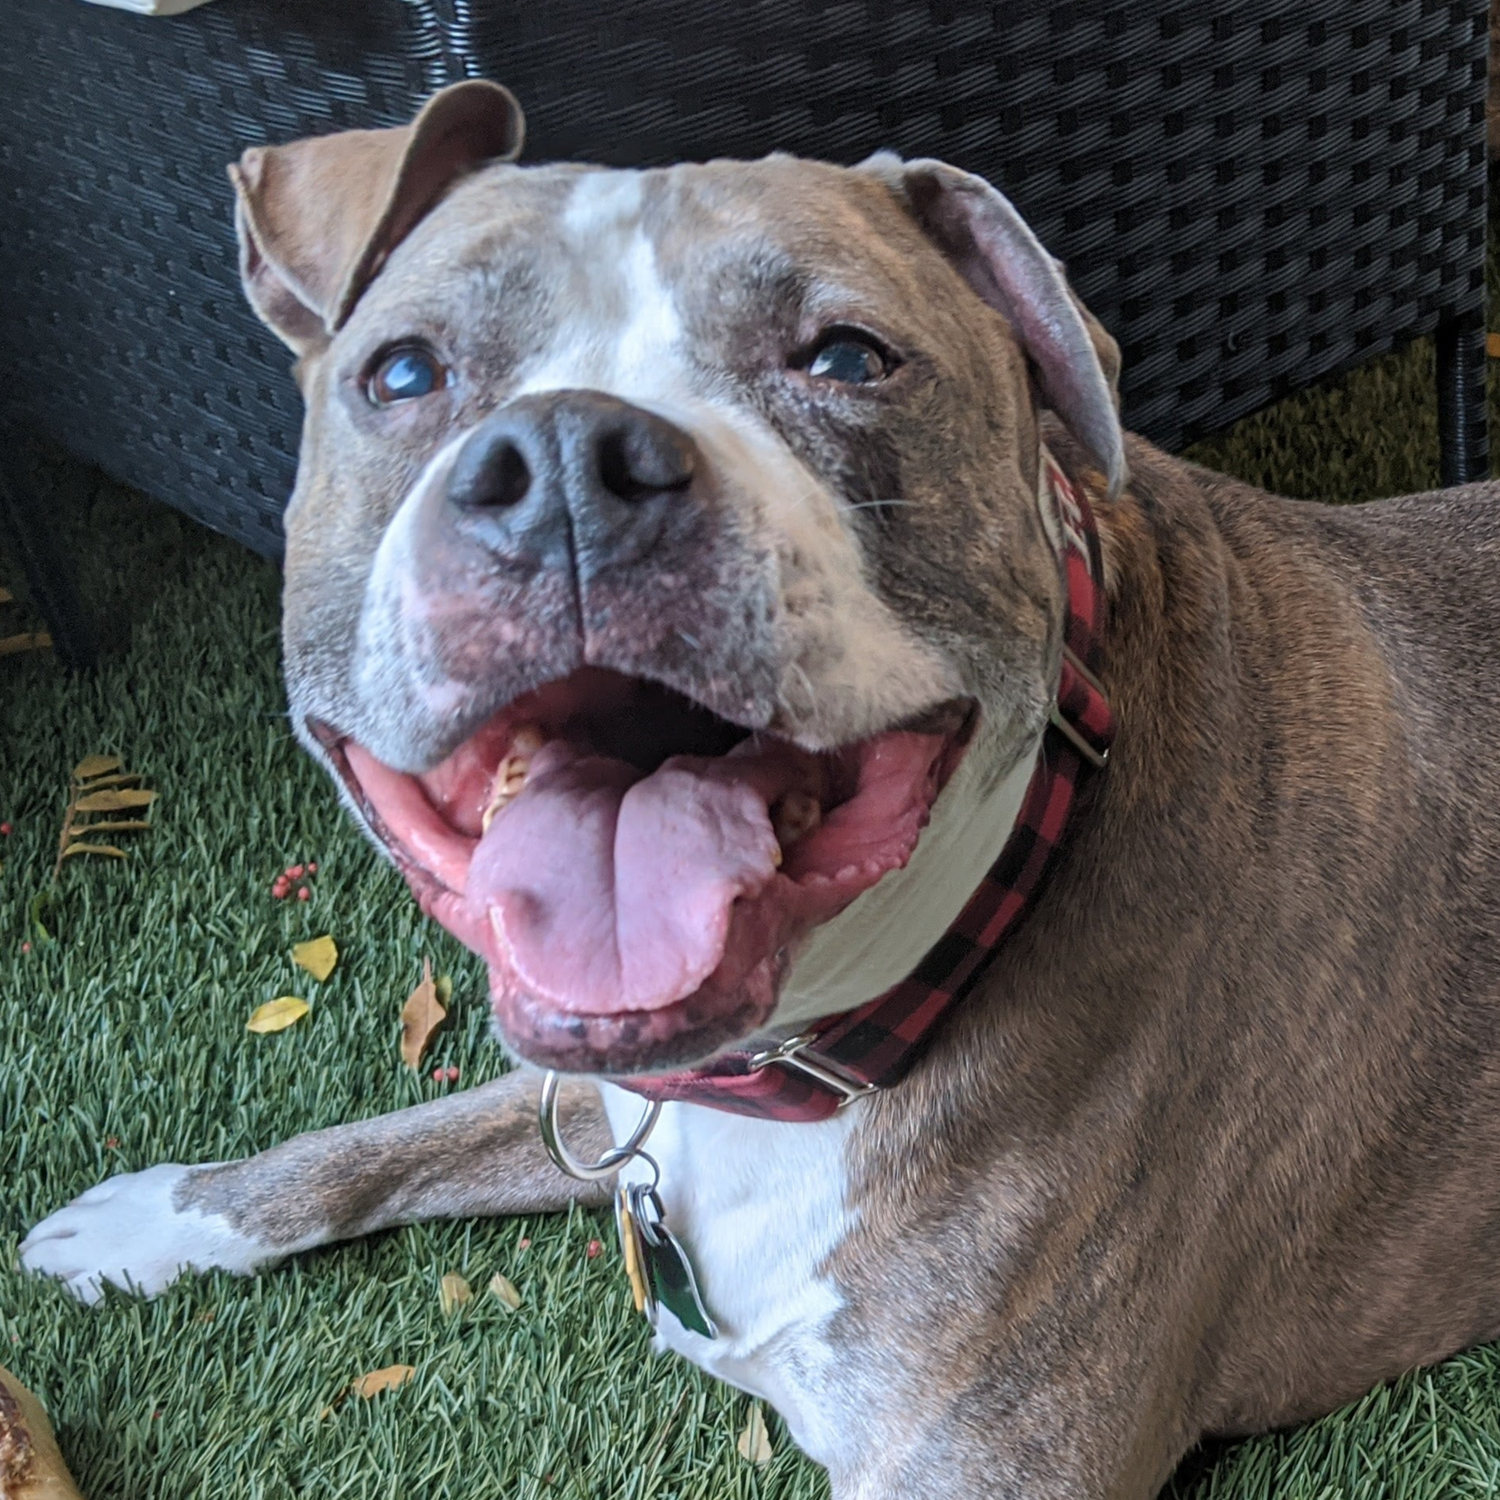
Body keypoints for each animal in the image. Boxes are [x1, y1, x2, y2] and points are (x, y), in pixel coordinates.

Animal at [17, 85, 1500, 1500]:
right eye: (402, 372)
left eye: (846, 358)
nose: (569, 468)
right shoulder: (600, 1085)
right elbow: (392, 1137)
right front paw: (160, 1215)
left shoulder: (985, 1466)